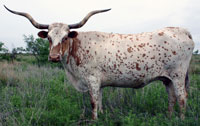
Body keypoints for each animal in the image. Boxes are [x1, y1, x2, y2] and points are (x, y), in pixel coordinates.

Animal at [4, 5, 194, 119]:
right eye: (49, 38)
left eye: (65, 37)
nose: (54, 57)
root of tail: (183, 30)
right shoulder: (99, 83)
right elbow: (100, 102)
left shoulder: (92, 80)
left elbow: (94, 103)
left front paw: (95, 119)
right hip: (167, 78)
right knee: (171, 97)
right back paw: (169, 117)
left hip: (178, 75)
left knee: (181, 97)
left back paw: (180, 119)